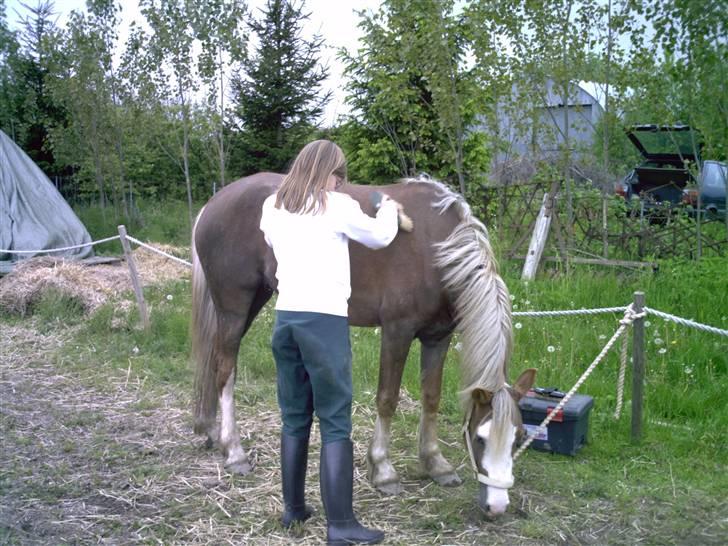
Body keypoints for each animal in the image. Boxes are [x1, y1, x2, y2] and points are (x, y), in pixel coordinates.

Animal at [190, 172, 536, 515]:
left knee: (214, 363)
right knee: (225, 369)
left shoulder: (438, 337)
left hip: (253, 300)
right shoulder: (397, 331)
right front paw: (383, 471)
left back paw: (211, 431)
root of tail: (213, 204)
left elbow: (431, 398)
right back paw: (234, 451)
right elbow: (387, 399)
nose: (497, 506)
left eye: (518, 438)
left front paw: (436, 463)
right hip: (235, 306)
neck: (437, 248)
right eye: (480, 438)